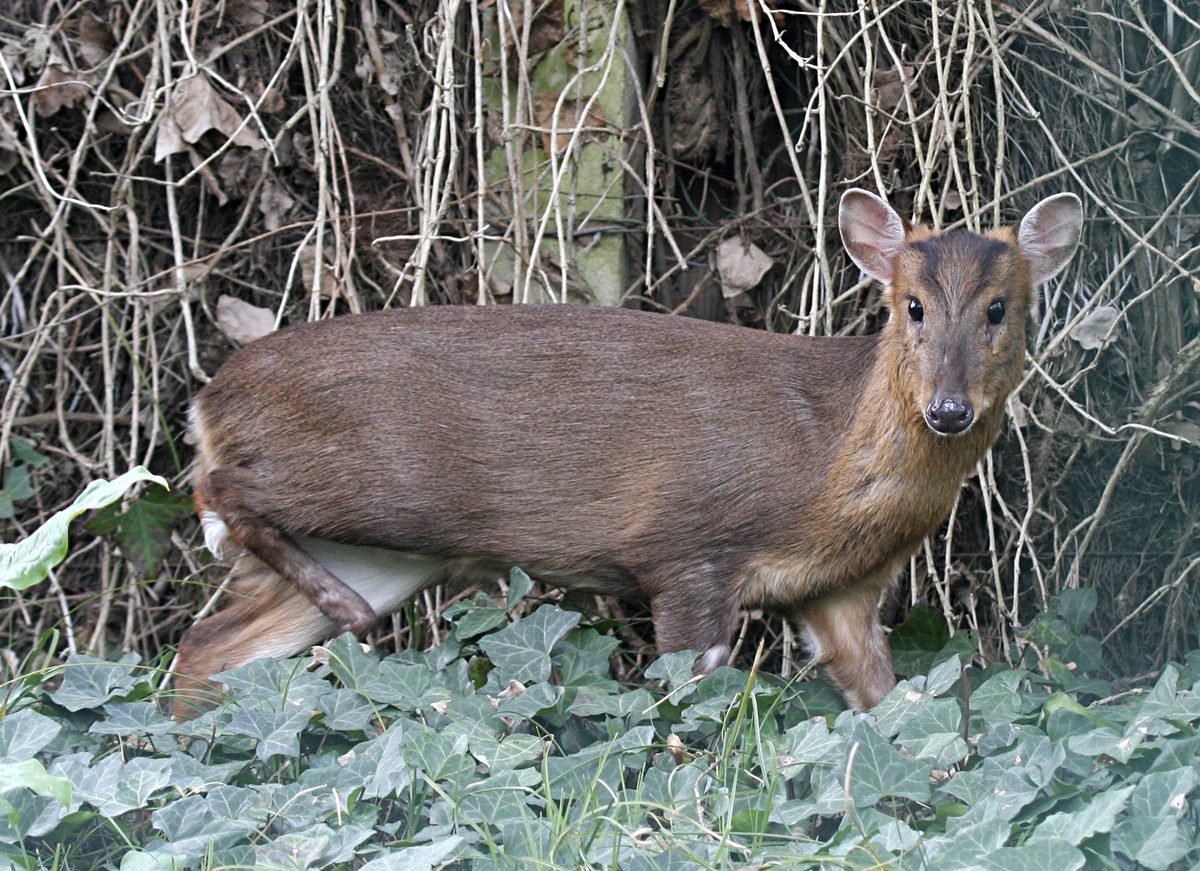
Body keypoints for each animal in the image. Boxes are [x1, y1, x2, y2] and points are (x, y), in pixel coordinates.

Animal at [177, 194, 1089, 719]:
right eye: (911, 307)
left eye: (1000, 308)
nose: (948, 408)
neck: (822, 461)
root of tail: (207, 400)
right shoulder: (685, 544)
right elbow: (684, 698)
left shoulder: (842, 591)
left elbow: (889, 705)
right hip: (373, 482)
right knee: (221, 490)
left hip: (385, 546)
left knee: (209, 644)